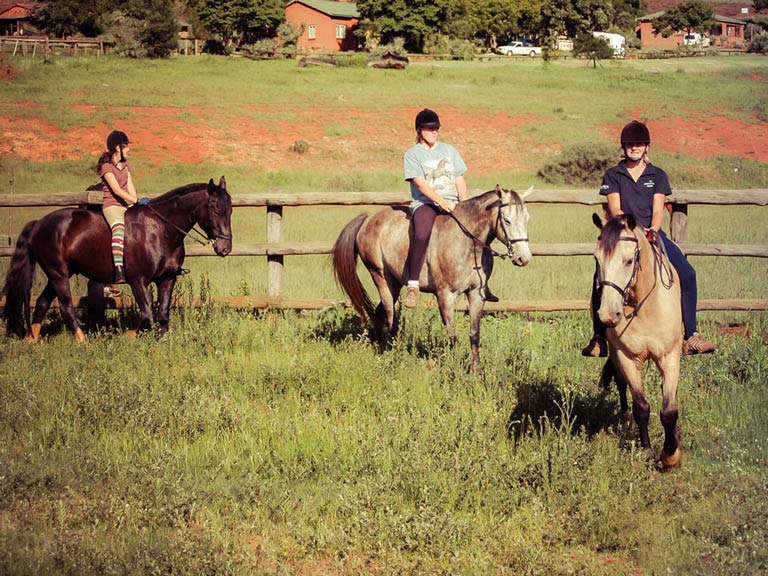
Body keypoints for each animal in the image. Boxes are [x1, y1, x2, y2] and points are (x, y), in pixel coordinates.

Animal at [1, 176, 232, 342]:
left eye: (230, 210)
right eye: (215, 209)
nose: (225, 248)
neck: (160, 230)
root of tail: (38, 224)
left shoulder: (167, 279)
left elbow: (163, 317)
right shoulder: (138, 280)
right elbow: (147, 315)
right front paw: (128, 336)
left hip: (59, 273)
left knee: (41, 303)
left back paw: (31, 340)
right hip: (58, 273)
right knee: (66, 307)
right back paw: (83, 342)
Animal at [330, 186, 536, 374]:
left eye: (527, 218)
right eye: (507, 220)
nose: (523, 258)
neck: (468, 244)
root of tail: (368, 219)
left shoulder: (476, 295)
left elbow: (475, 334)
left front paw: (476, 371)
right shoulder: (446, 296)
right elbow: (452, 335)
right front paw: (456, 369)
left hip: (395, 283)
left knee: (380, 313)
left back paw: (380, 346)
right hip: (381, 277)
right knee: (390, 316)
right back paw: (395, 353)